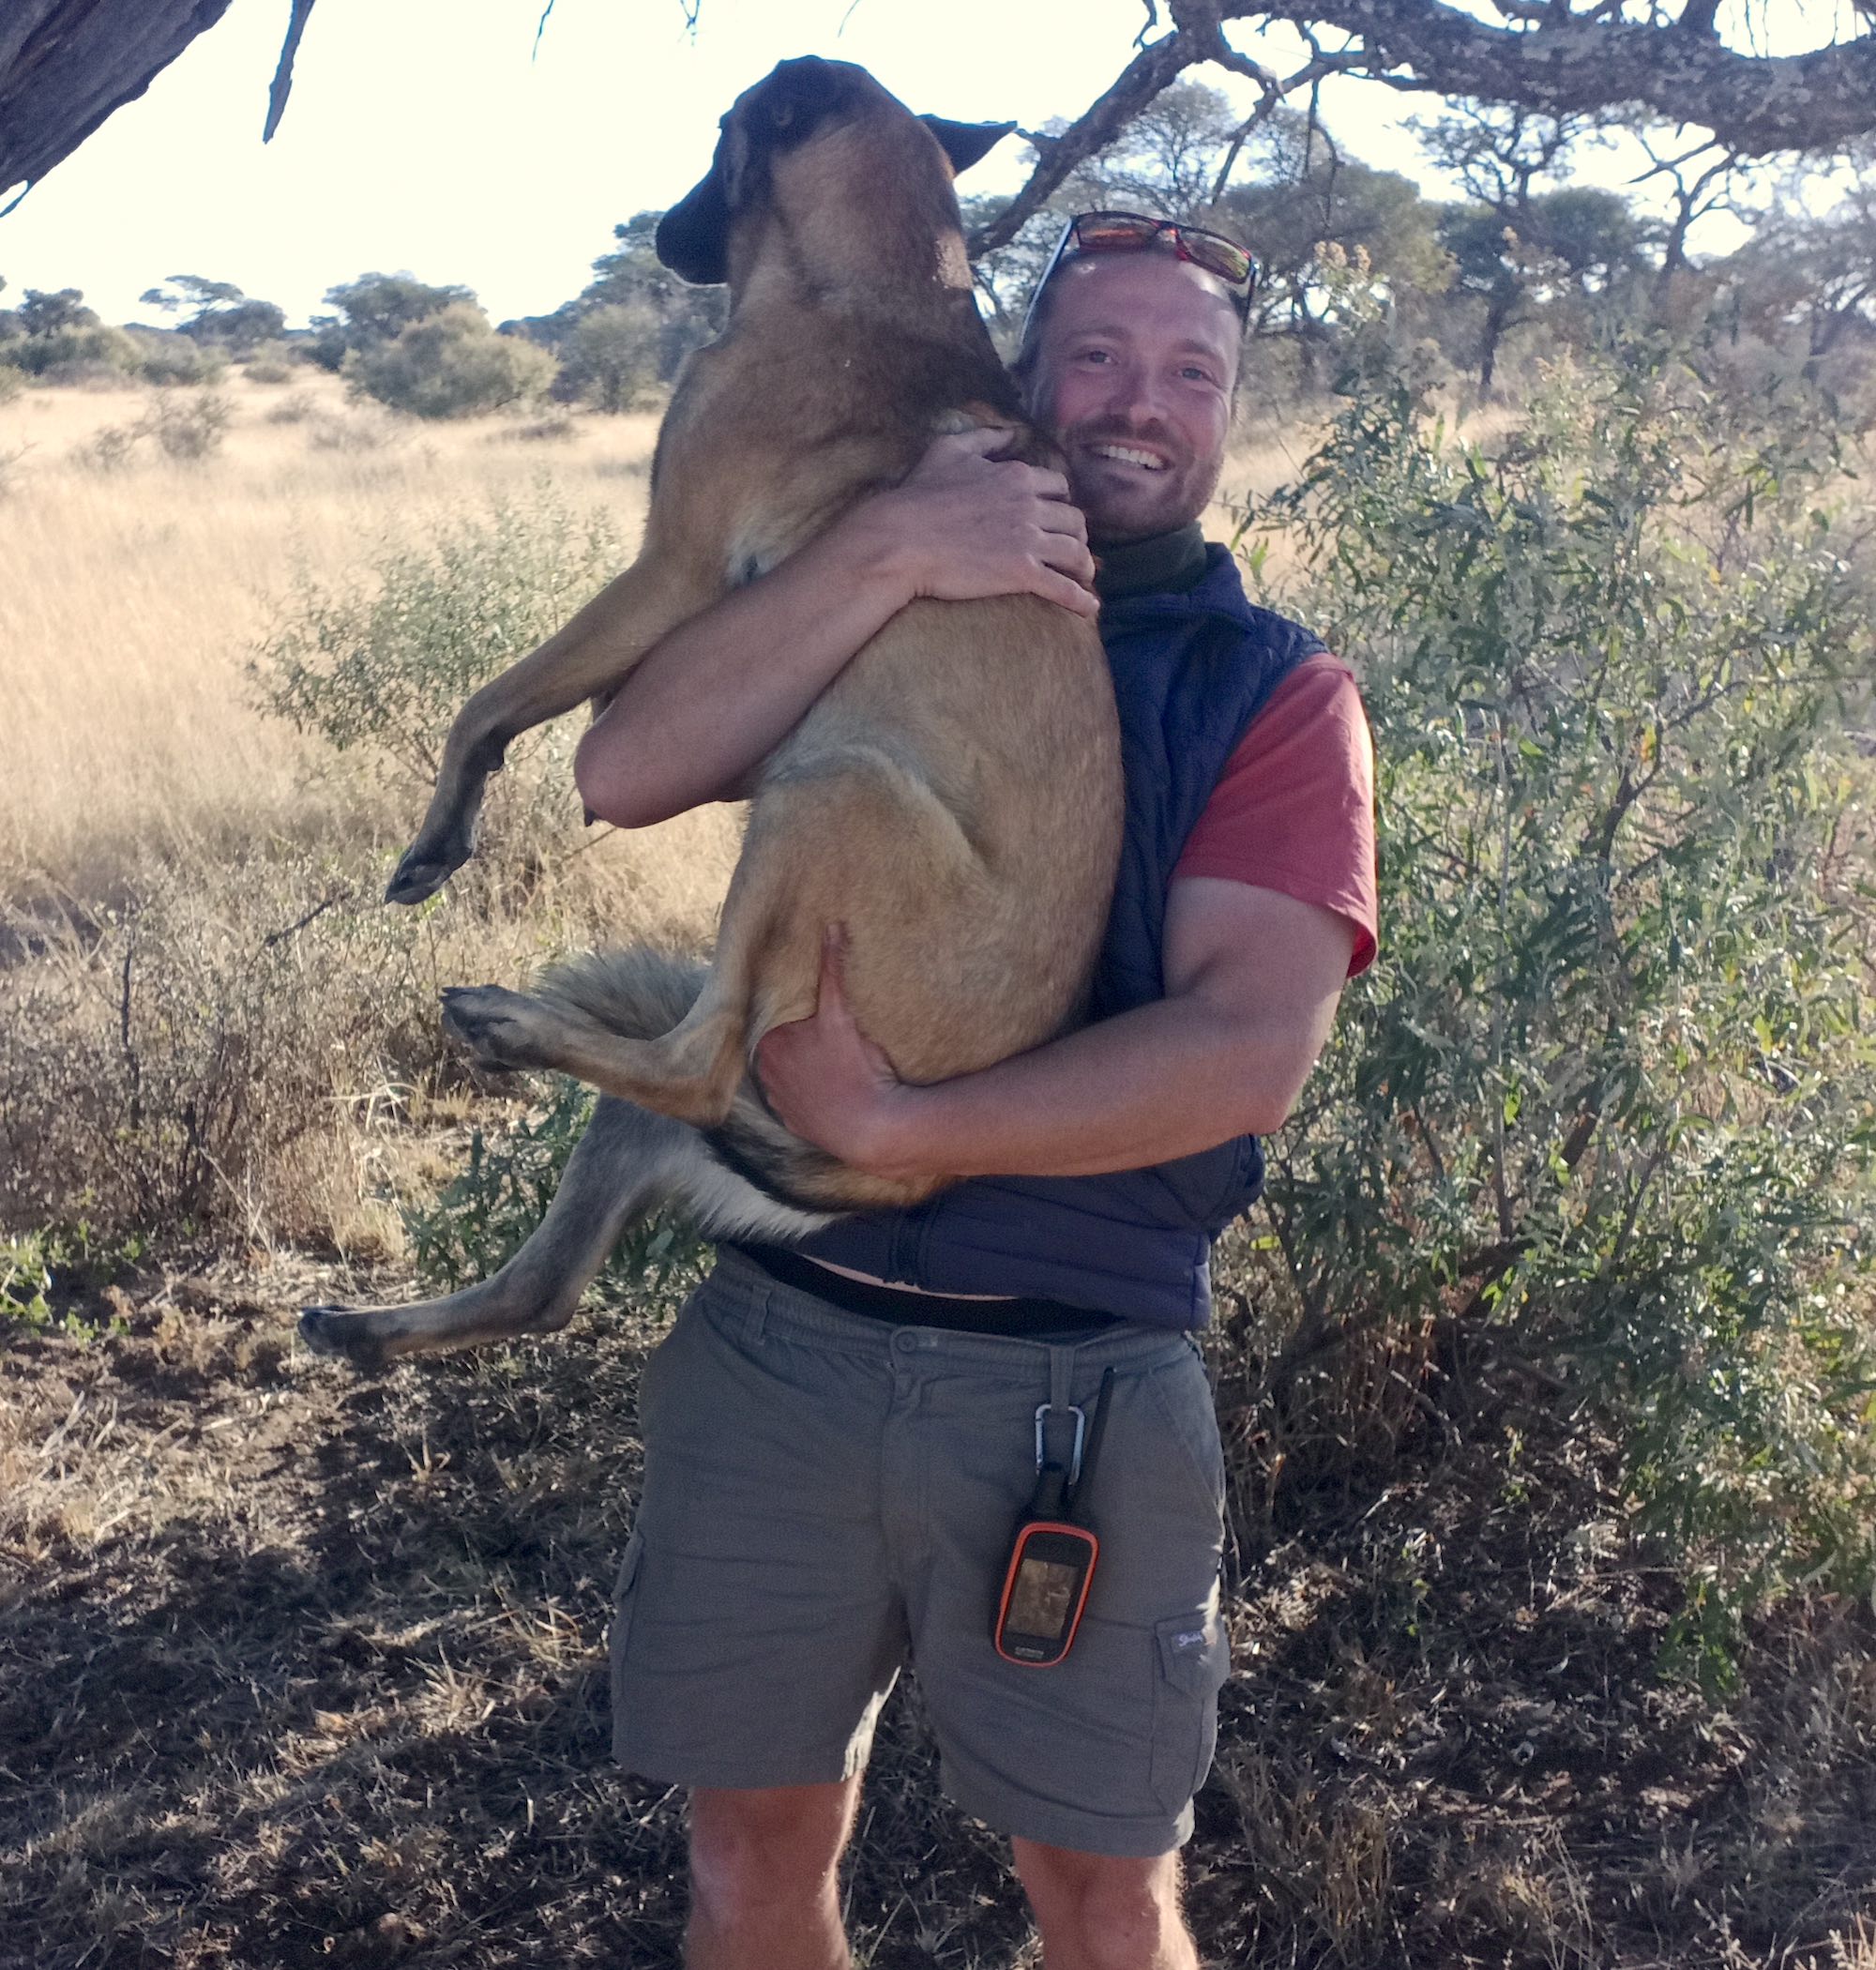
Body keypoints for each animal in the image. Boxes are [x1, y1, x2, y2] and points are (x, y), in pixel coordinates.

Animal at [299, 53, 1119, 1363]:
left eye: (717, 135)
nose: (656, 236)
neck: (888, 283)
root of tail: (920, 1165)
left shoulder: (671, 573)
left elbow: (488, 701)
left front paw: (438, 838)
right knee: (548, 1282)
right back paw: (369, 1325)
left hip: (830, 791)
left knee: (696, 1062)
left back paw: (511, 1026)